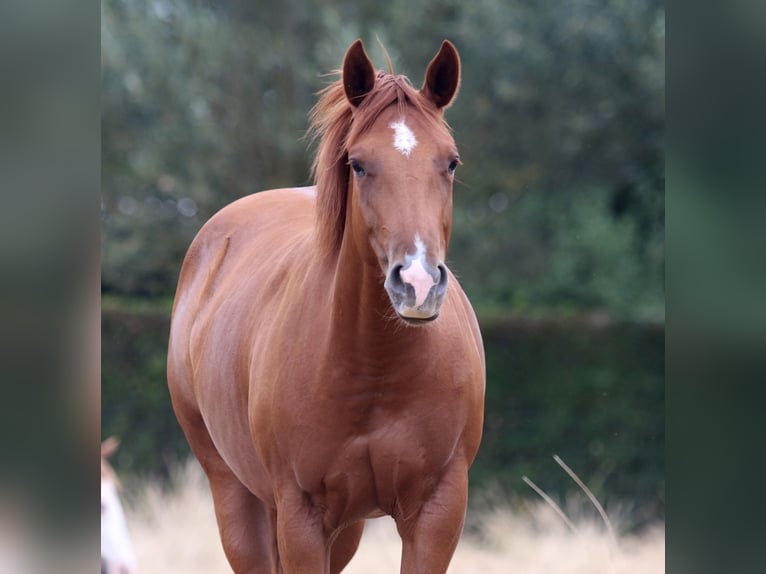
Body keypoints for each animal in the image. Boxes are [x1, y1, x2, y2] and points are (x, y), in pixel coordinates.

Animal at [167, 39, 485, 573]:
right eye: (357, 163)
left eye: (452, 162)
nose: (417, 282)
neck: (378, 369)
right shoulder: (302, 516)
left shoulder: (437, 512)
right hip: (236, 497)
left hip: (347, 529)